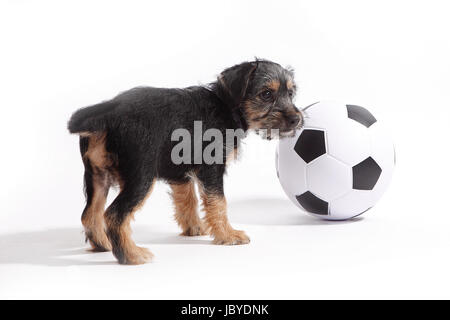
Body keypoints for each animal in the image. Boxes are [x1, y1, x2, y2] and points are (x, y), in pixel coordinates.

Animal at [68, 58, 300, 264]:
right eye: (266, 94)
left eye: (290, 93)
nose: (296, 119)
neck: (226, 105)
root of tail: (109, 111)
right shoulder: (212, 169)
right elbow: (218, 202)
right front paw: (228, 235)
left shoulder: (179, 172)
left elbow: (187, 199)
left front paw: (194, 228)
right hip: (141, 177)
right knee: (114, 215)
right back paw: (132, 255)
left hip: (97, 176)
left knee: (90, 214)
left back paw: (103, 245)